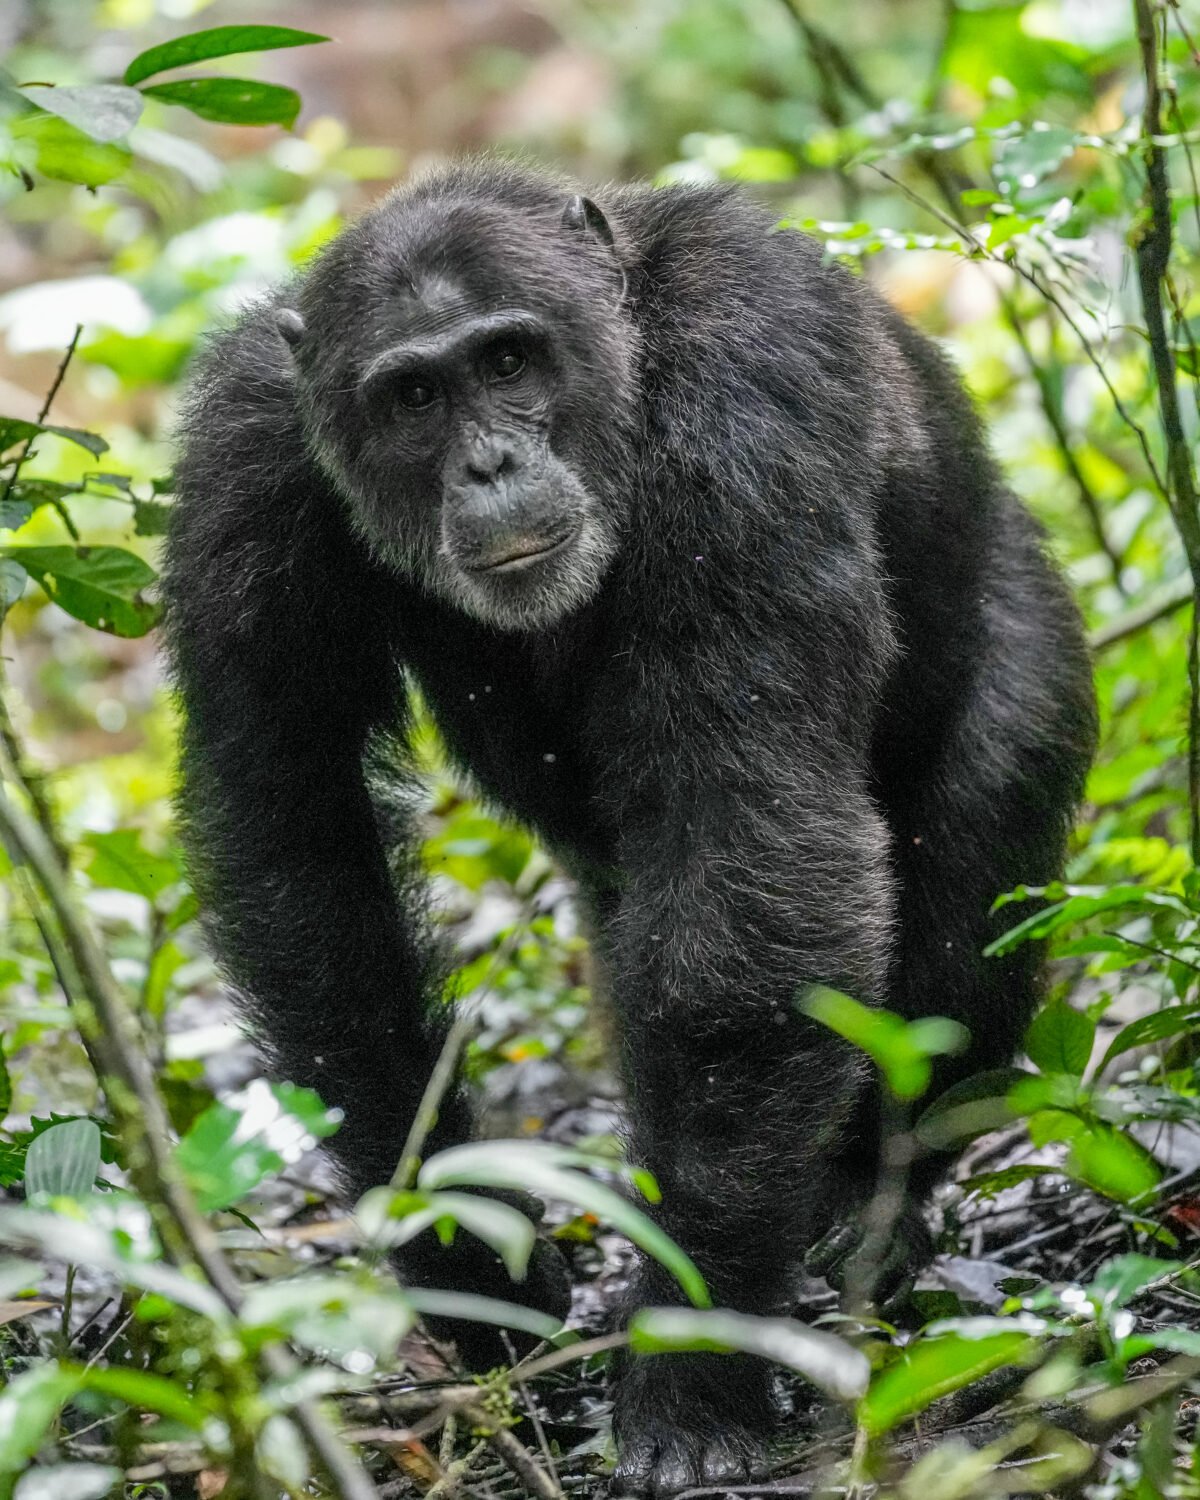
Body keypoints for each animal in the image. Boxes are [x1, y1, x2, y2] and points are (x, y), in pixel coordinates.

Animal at [163, 158, 1097, 1497]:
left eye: (507, 362)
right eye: (414, 395)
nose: (491, 462)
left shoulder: (753, 384)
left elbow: (752, 839)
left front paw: (691, 1372)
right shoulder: (242, 467)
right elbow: (302, 835)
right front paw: (472, 1264)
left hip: (1028, 631)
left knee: (969, 894)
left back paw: (865, 1209)